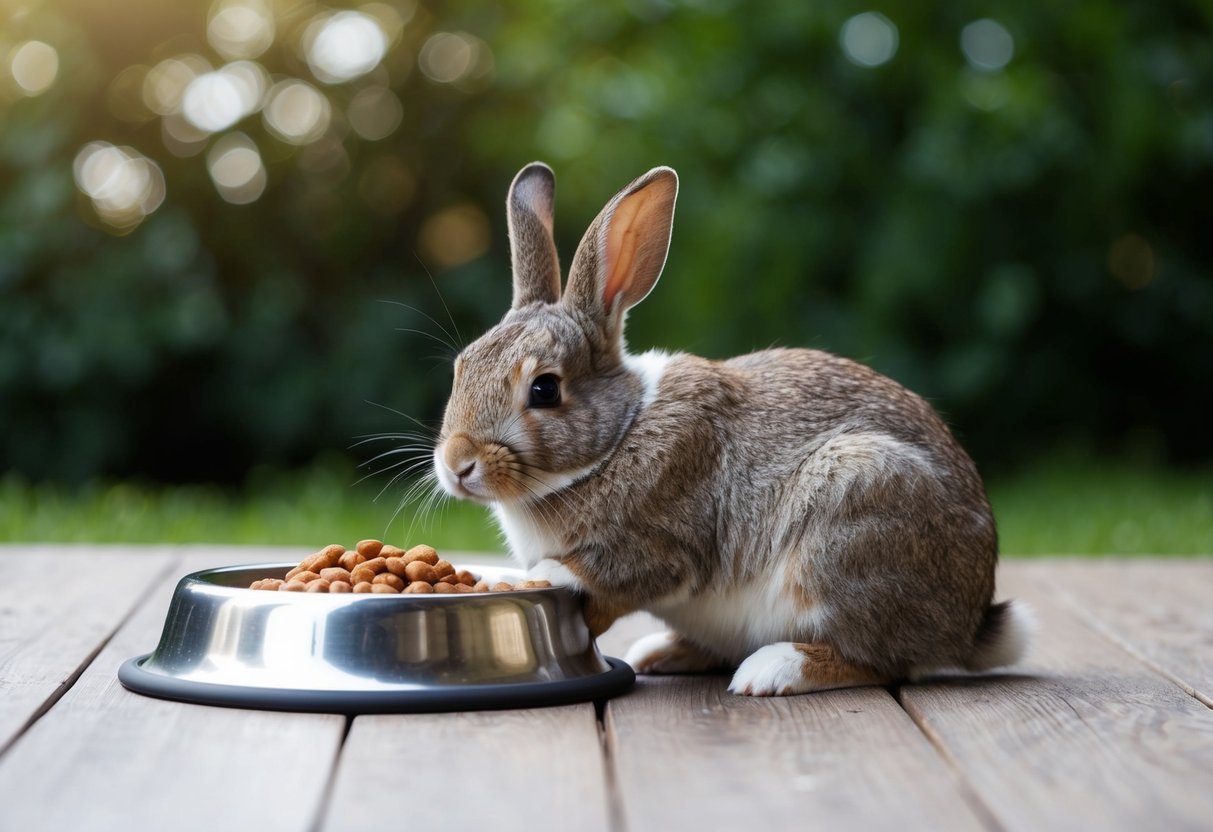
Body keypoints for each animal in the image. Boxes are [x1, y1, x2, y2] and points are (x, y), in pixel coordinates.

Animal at [433, 161, 1034, 695]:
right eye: (461, 367)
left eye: (544, 390)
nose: (457, 464)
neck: (617, 436)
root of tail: (968, 626)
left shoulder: (661, 545)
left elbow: (592, 575)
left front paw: (520, 579)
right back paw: (661, 652)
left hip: (852, 512)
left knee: (881, 661)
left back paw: (773, 670)